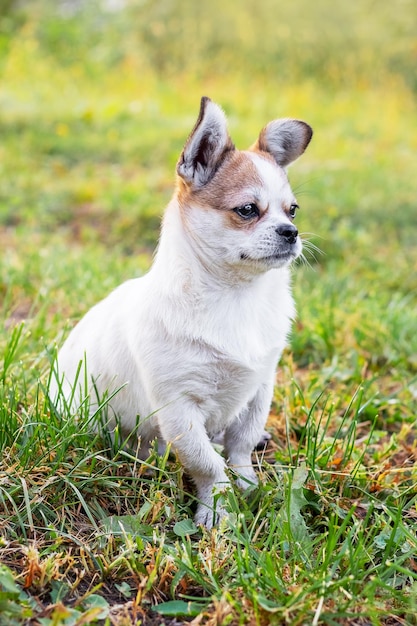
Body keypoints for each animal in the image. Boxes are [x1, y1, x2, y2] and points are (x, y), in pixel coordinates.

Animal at [49, 97, 312, 528]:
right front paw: (218, 509)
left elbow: (239, 447)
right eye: (247, 210)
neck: (237, 295)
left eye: (293, 210)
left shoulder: (259, 390)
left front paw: (248, 487)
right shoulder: (179, 409)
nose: (290, 232)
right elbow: (207, 465)